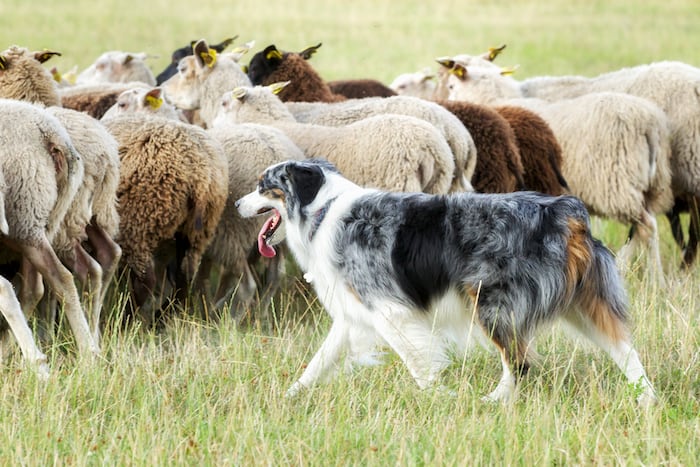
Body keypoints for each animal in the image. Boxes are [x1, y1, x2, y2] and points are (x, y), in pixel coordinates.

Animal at [102, 115, 227, 324]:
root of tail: (200, 172)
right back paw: (163, 318)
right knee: (185, 275)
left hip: (139, 221)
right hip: (198, 230)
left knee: (145, 281)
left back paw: (126, 322)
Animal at [237, 160, 656, 406]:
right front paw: (290, 396)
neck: (322, 210)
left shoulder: (389, 311)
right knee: (625, 349)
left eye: (262, 186)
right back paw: (646, 399)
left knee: (520, 362)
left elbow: (418, 362)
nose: (237, 205)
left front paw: (440, 397)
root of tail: (563, 211)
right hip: (581, 304)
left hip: (491, 303)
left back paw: (492, 402)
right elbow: (318, 362)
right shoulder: (353, 311)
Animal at [440, 65, 676, 286]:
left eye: (451, 85)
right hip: (651, 186)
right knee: (642, 227)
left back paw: (657, 280)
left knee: (647, 226)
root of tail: (651, 125)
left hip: (616, 184)